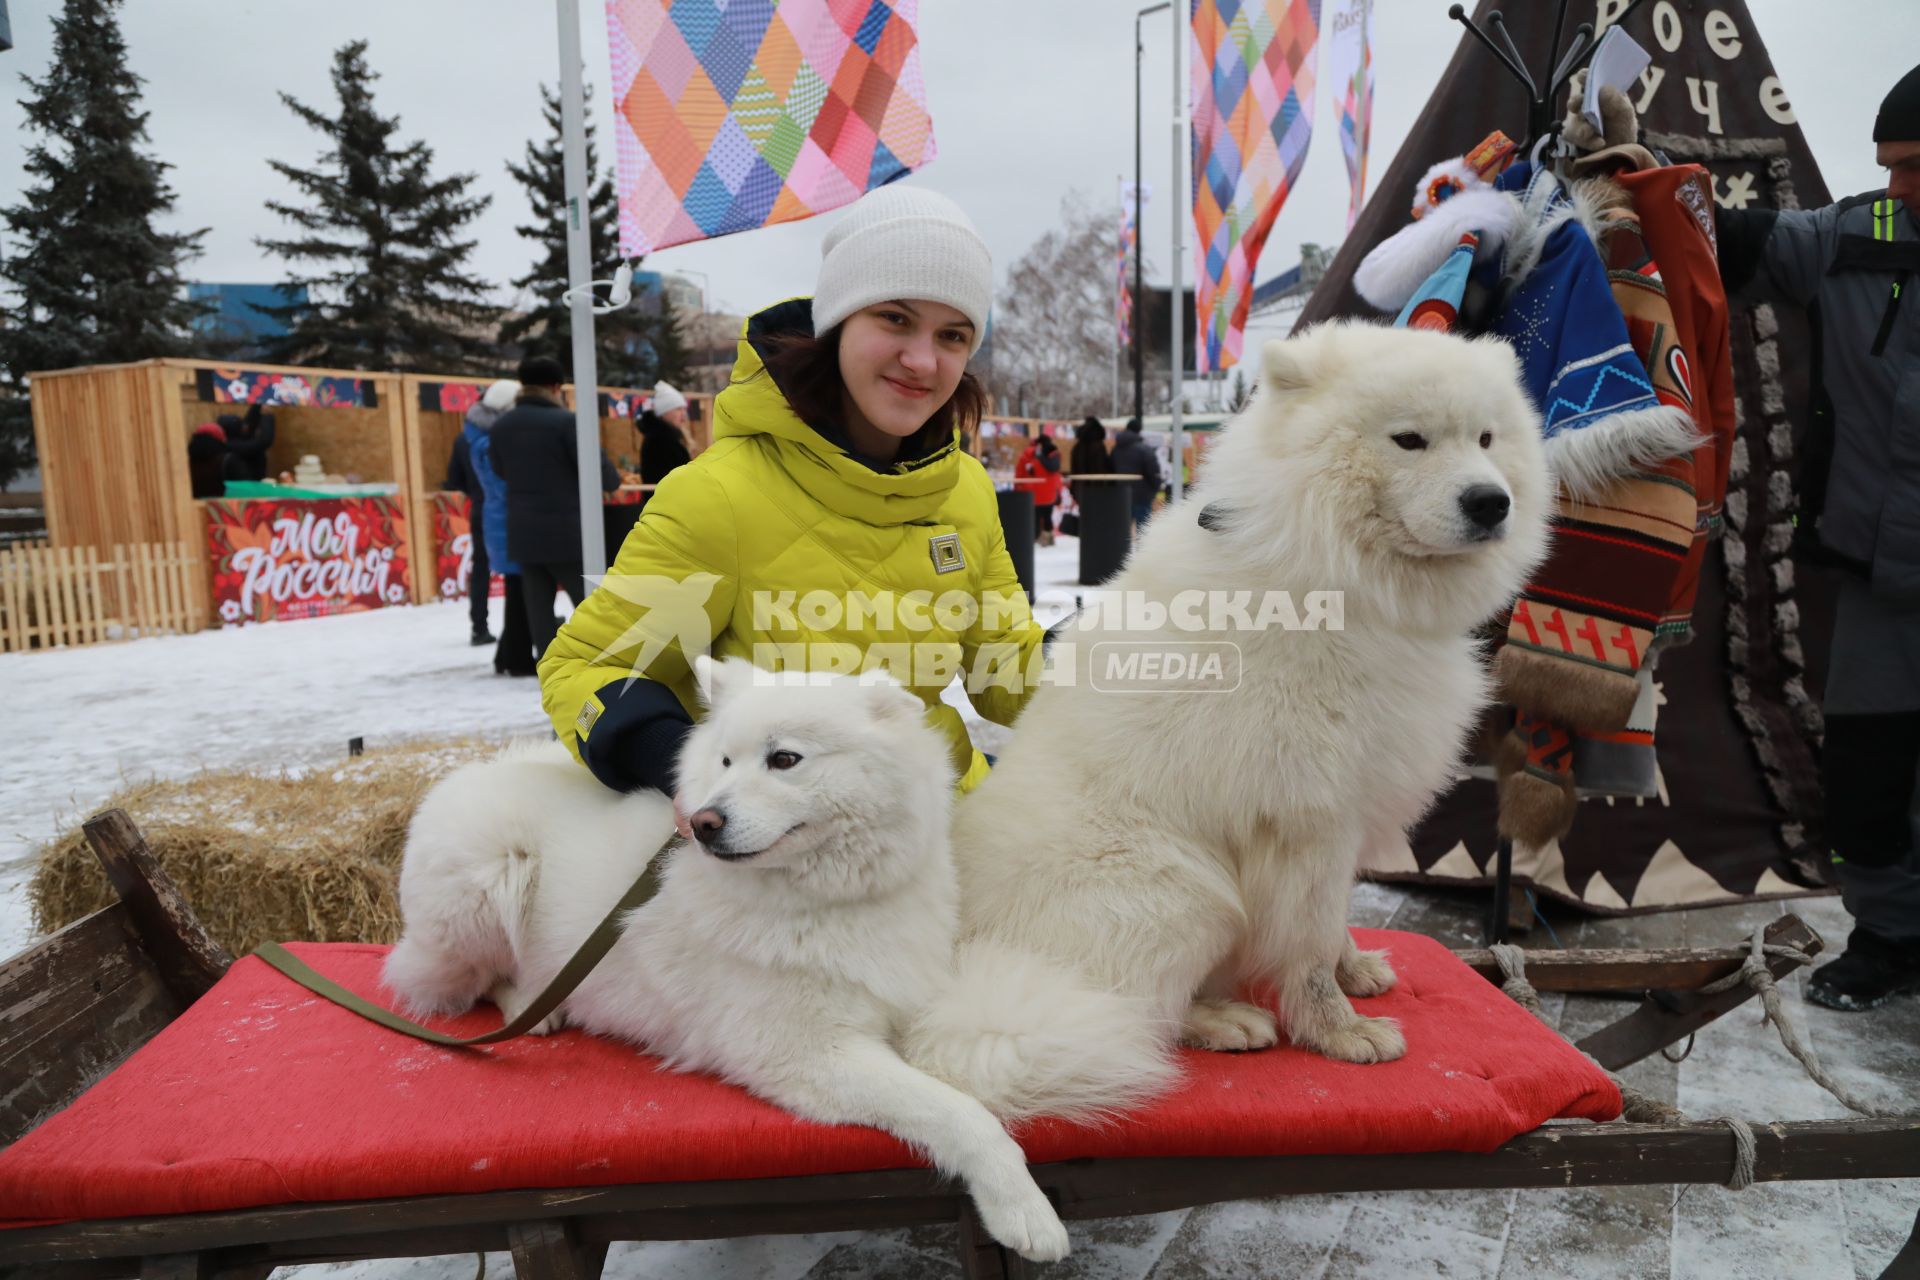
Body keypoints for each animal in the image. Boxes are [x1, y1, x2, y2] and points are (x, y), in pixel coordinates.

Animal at [387, 660, 1159, 1258]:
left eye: (784, 760)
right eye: (725, 763)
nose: (704, 822)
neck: (830, 900)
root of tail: (484, 766)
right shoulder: (807, 1053)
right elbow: (959, 1113)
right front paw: (1022, 1209)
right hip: (486, 878)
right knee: (456, 981)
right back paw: (532, 1004)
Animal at [906, 322, 1551, 1113]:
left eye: (1487, 438)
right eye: (1409, 440)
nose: (1491, 502)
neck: (1337, 577)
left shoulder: (1348, 809)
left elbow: (1336, 917)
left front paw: (1354, 972)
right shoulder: (1306, 817)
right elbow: (1307, 943)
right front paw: (1338, 1031)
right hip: (1189, 894)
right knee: (1131, 1015)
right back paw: (1225, 1020)